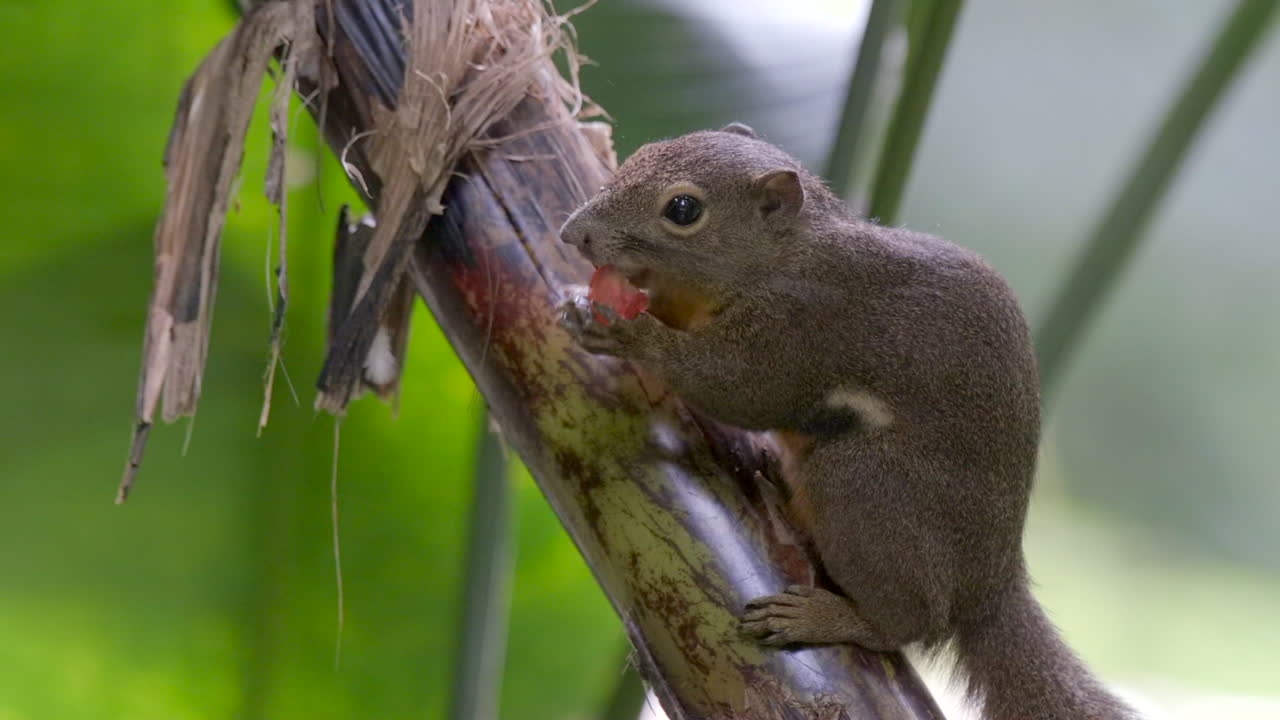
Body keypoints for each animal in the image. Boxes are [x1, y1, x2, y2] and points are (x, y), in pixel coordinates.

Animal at [557, 123, 1138, 720]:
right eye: (642, 154)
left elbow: (739, 390)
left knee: (910, 623)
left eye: (682, 208)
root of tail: (989, 581)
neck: (783, 254)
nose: (572, 234)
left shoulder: (800, 327)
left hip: (863, 483)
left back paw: (828, 617)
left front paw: (630, 334)